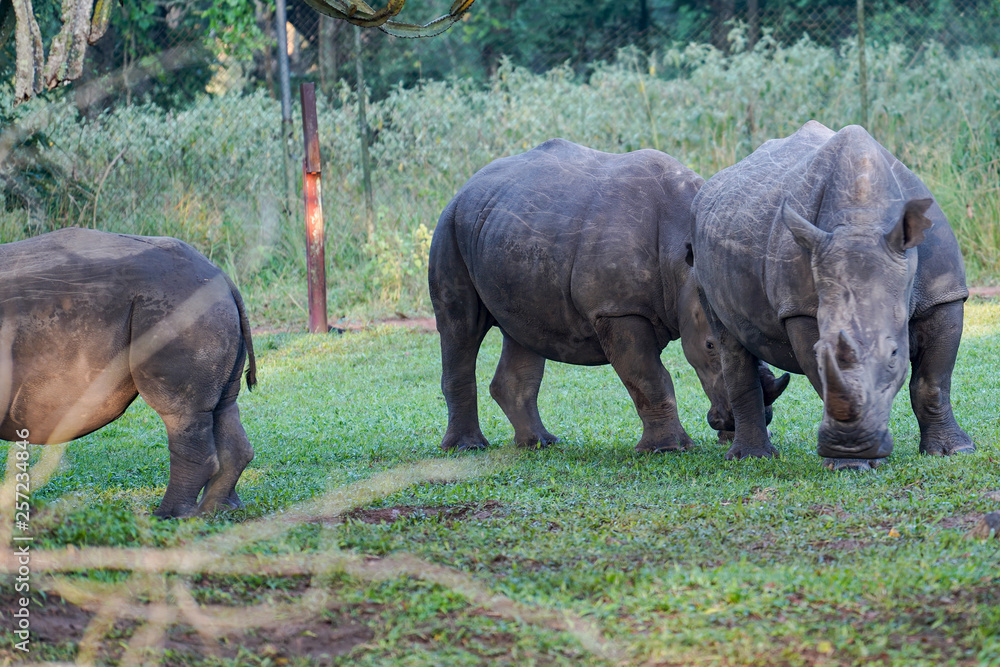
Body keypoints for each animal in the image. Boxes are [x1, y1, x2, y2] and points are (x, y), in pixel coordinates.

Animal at [0, 228, 257, 517]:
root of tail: (221, 276)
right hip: (200, 305)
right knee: (223, 405)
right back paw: (217, 510)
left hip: (178, 308)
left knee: (180, 411)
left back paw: (169, 516)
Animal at [428, 138, 788, 453]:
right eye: (710, 346)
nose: (730, 421)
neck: (681, 261)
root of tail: (467, 186)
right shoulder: (617, 309)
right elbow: (649, 377)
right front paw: (669, 449)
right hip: (450, 225)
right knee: (460, 328)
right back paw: (466, 447)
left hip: (511, 228)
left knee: (523, 331)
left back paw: (540, 443)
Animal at [691, 121, 973, 469]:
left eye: (894, 355)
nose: (855, 446)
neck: (862, 220)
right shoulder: (799, 307)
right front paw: (850, 463)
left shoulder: (944, 294)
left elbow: (933, 382)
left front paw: (954, 451)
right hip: (698, 251)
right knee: (727, 337)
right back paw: (751, 458)